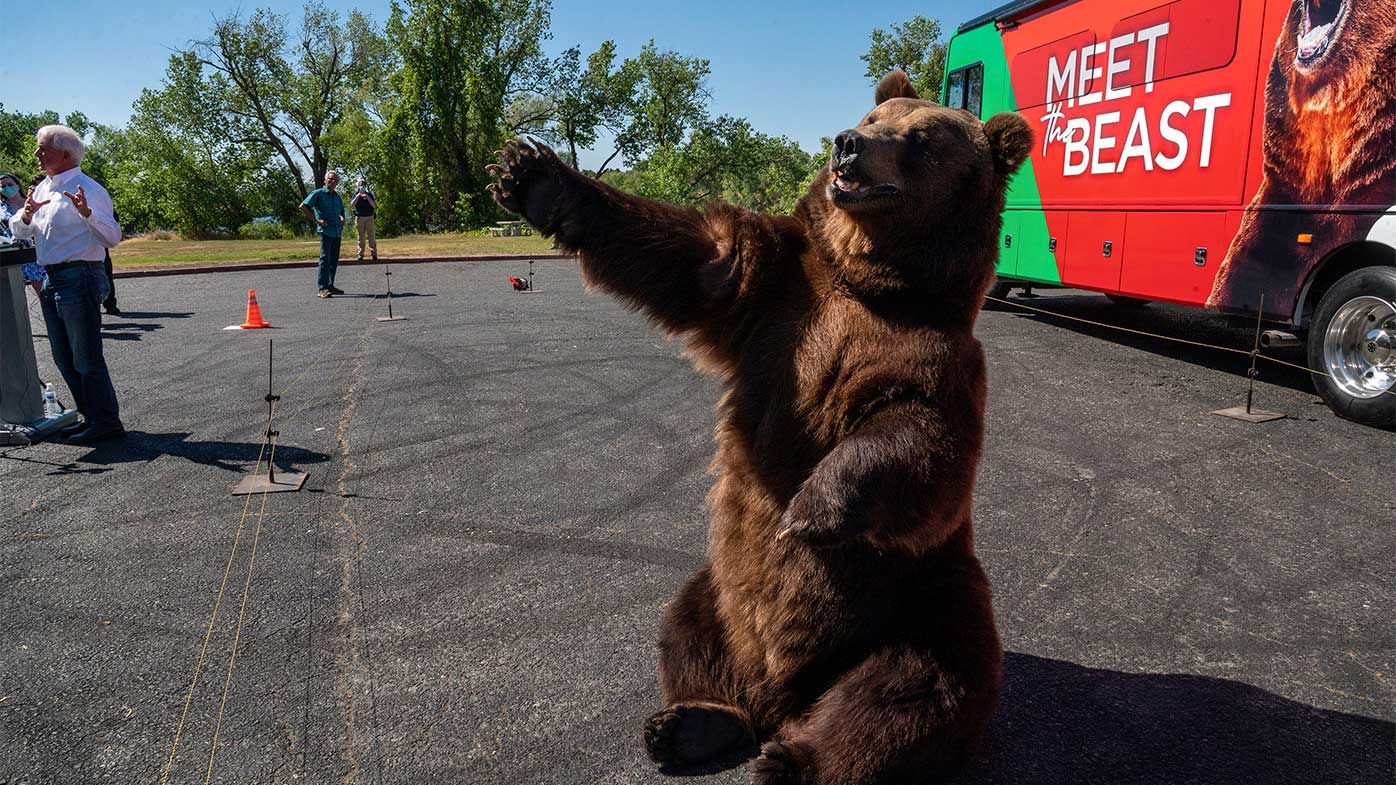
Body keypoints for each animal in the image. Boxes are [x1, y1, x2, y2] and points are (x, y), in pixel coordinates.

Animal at [487, 70, 1032, 785]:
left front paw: (810, 510)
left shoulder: (938, 362)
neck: (875, 284)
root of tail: (785, 693)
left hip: (922, 596)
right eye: (873, 115)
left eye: (920, 139)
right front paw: (530, 174)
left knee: (914, 687)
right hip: (724, 587)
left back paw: (791, 761)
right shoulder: (778, 290)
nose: (849, 144)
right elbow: (698, 258)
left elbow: (922, 445)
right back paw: (692, 723)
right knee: (689, 626)